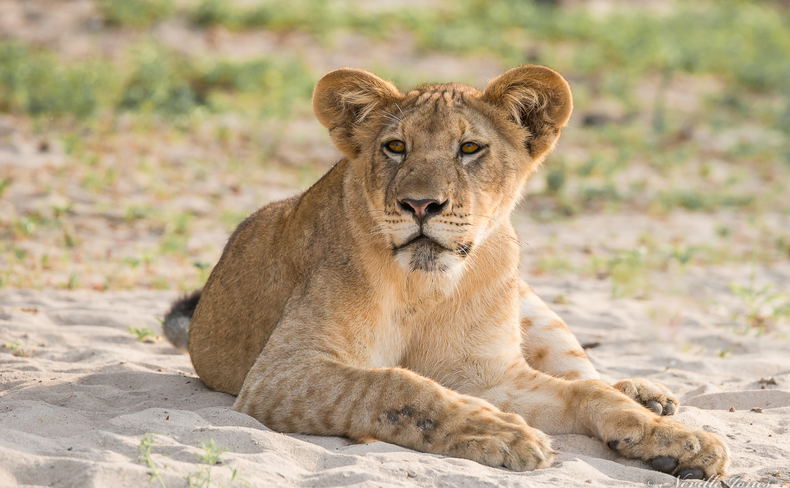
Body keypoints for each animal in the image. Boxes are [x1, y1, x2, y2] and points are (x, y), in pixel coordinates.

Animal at [163, 65, 728, 478]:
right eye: (395, 147)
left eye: (470, 148)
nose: (420, 205)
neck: (426, 286)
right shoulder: (280, 372)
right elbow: (398, 385)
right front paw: (503, 434)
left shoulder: (490, 374)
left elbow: (585, 392)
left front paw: (681, 442)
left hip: (534, 307)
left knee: (585, 371)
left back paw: (648, 397)